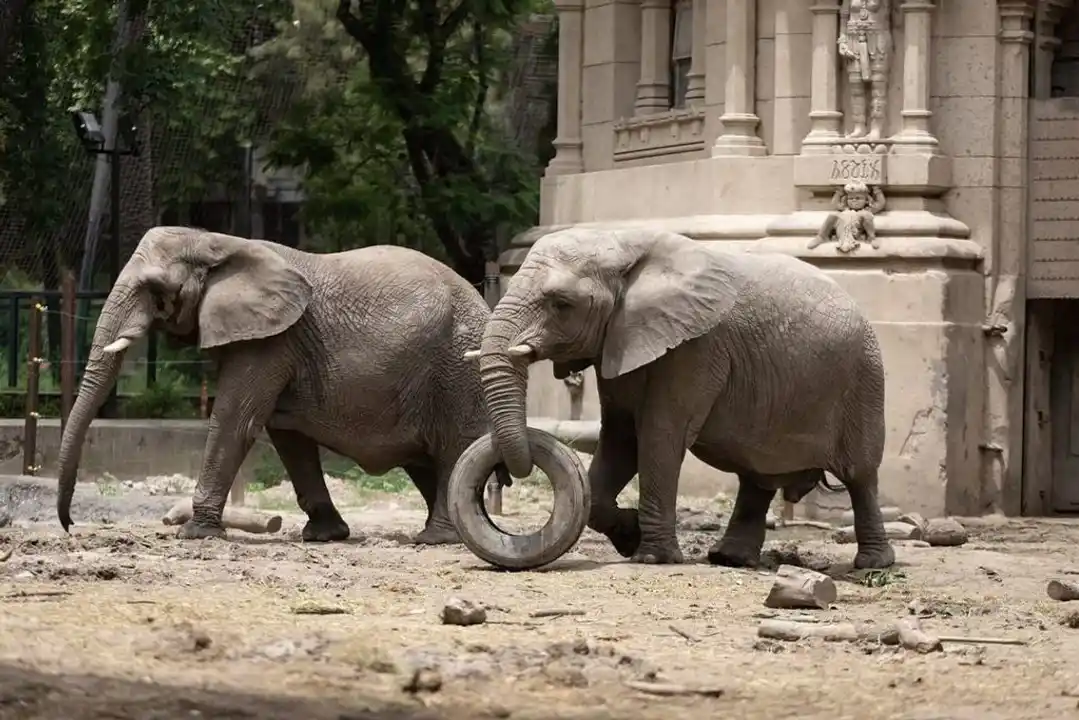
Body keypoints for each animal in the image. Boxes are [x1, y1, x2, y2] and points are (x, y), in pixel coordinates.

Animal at [56, 226, 504, 544]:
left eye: (156, 291)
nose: (70, 525)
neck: (218, 242)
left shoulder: (270, 341)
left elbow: (235, 420)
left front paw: (196, 534)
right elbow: (287, 436)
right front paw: (325, 536)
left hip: (457, 370)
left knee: (452, 451)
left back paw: (435, 538)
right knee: (424, 462)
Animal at [473, 227, 895, 569]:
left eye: (561, 303)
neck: (623, 242)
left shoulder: (696, 348)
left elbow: (659, 435)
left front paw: (651, 558)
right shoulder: (621, 340)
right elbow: (621, 439)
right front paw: (630, 537)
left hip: (864, 380)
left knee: (860, 474)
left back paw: (873, 565)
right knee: (757, 475)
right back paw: (729, 559)